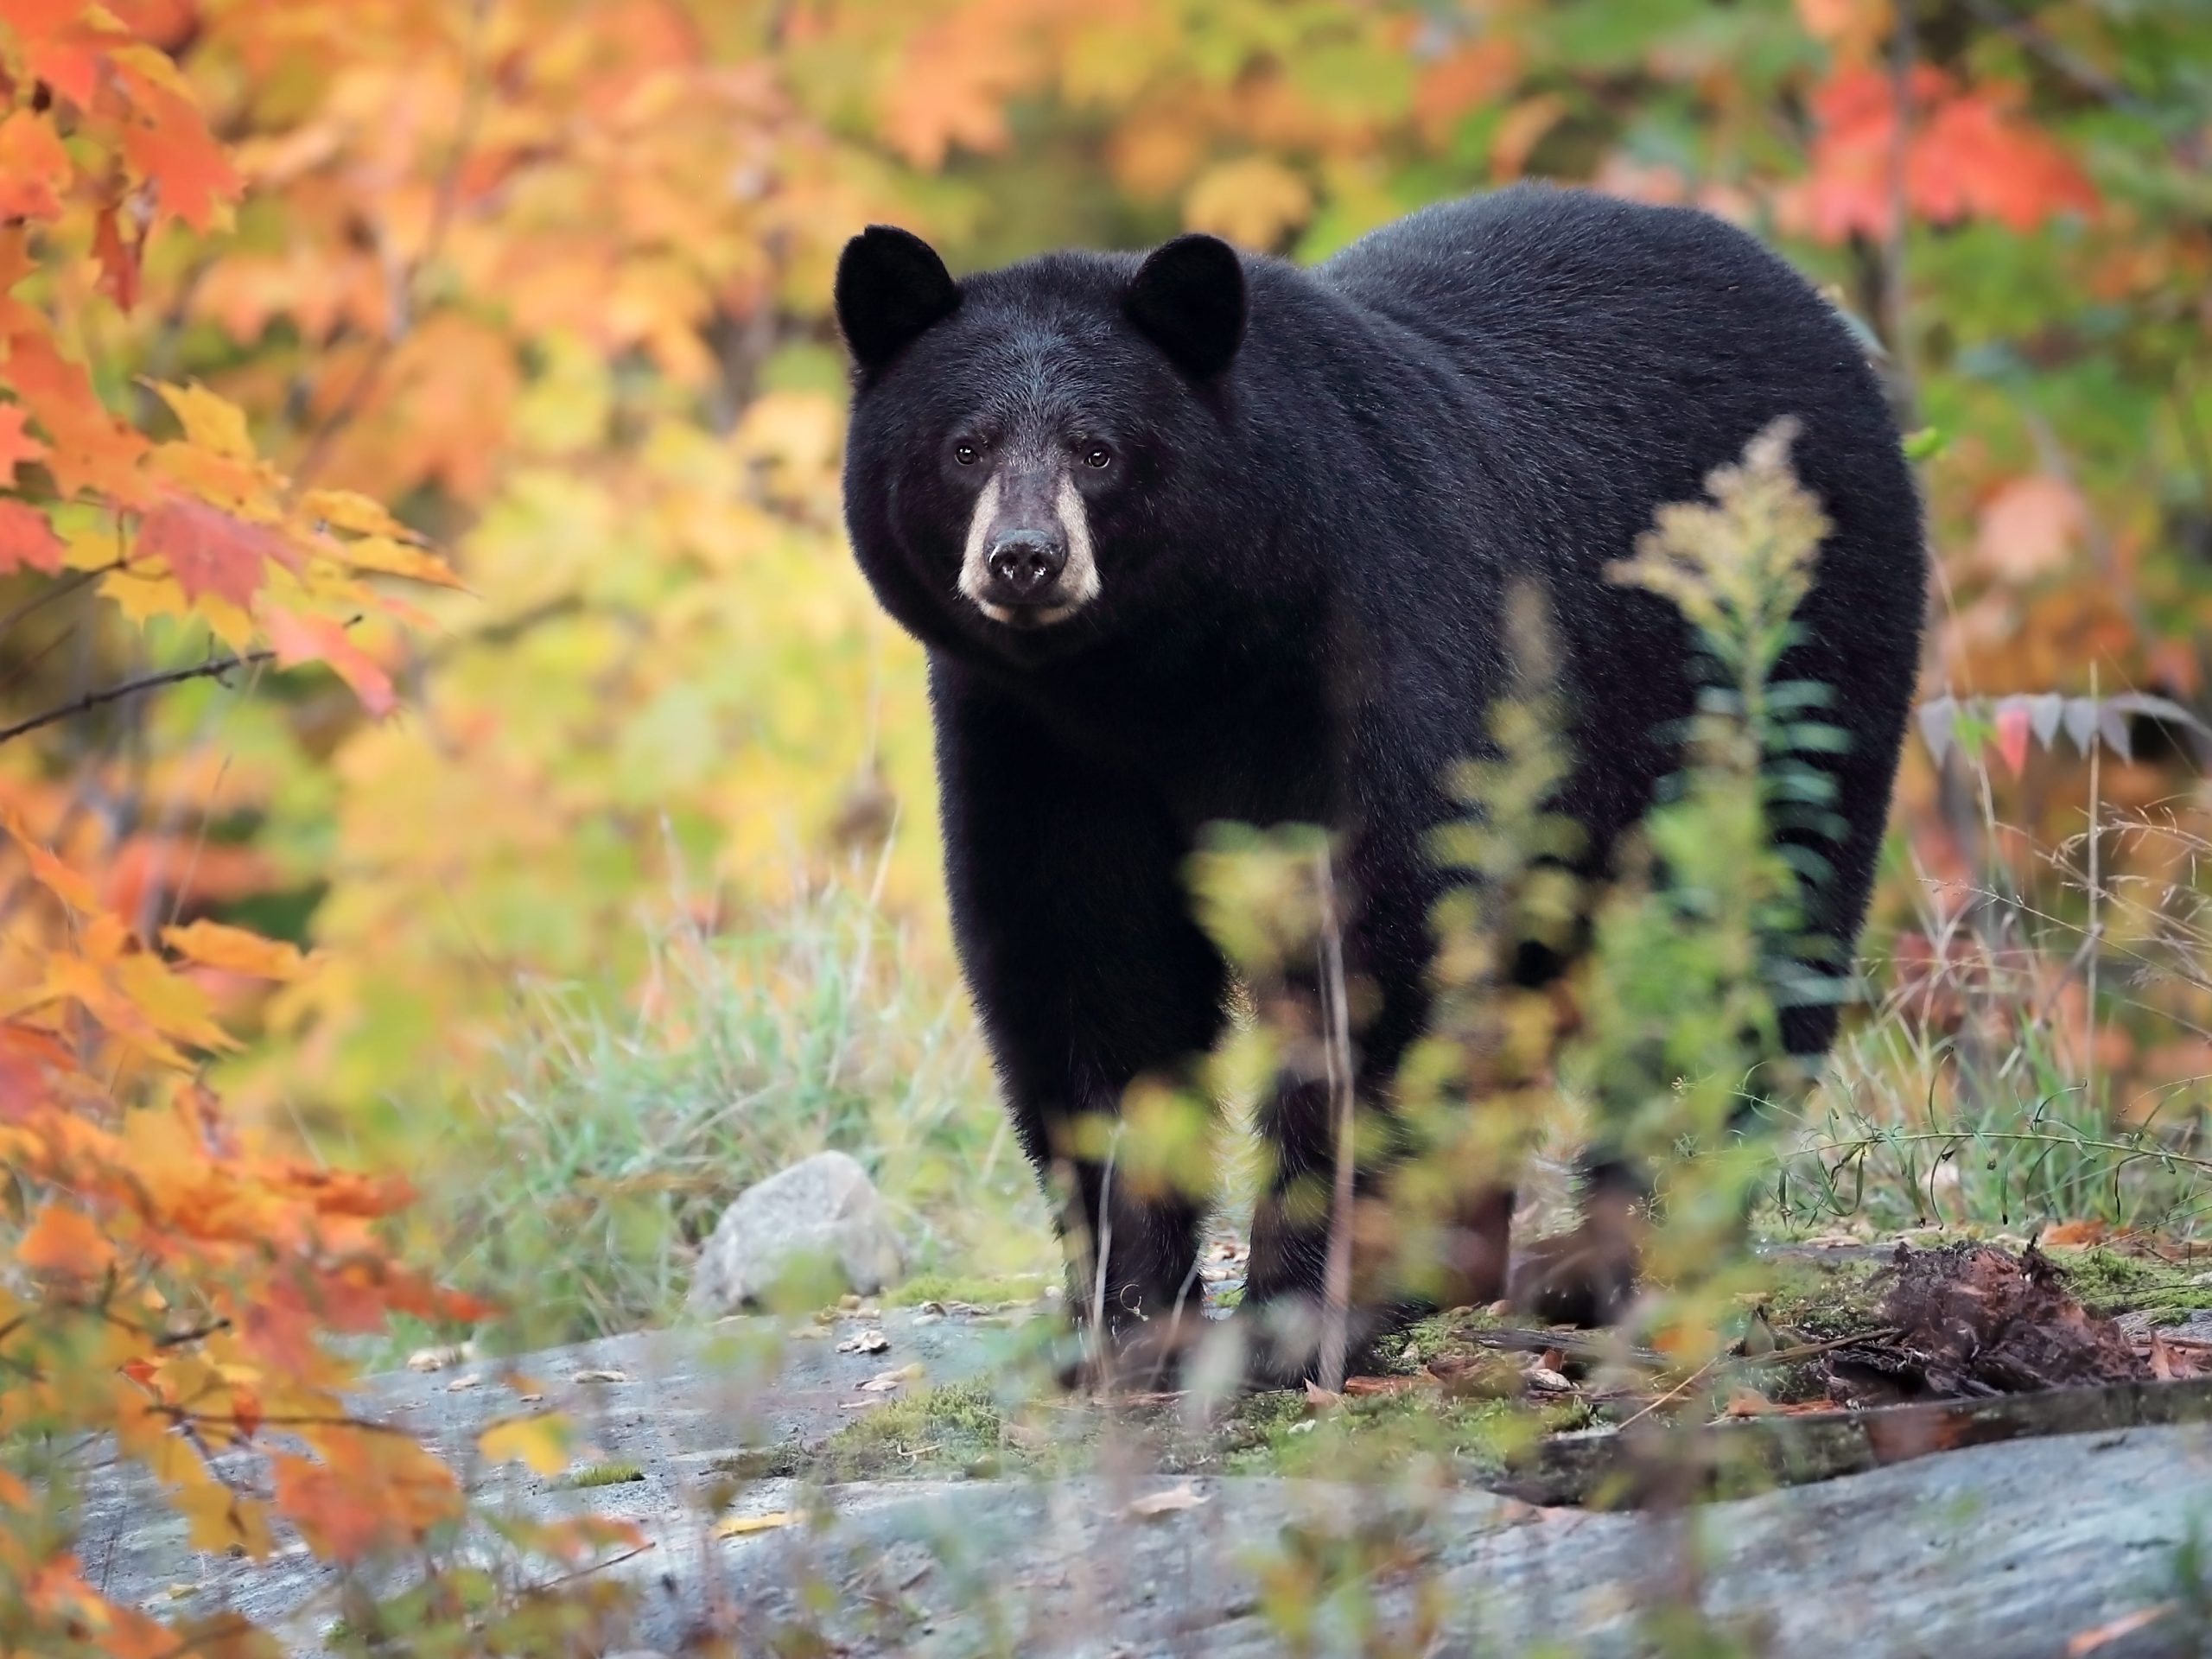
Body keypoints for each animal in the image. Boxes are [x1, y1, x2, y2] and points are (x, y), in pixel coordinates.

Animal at [836, 181, 1929, 1389]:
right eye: (965, 445)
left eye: (1098, 449)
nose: (1026, 558)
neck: (1166, 668)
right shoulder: (1035, 740)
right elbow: (1087, 970)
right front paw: (1126, 1322)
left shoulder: (1378, 648)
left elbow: (1379, 950)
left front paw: (1300, 1312)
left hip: (1779, 664)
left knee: (1739, 932)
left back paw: (1632, 1254)